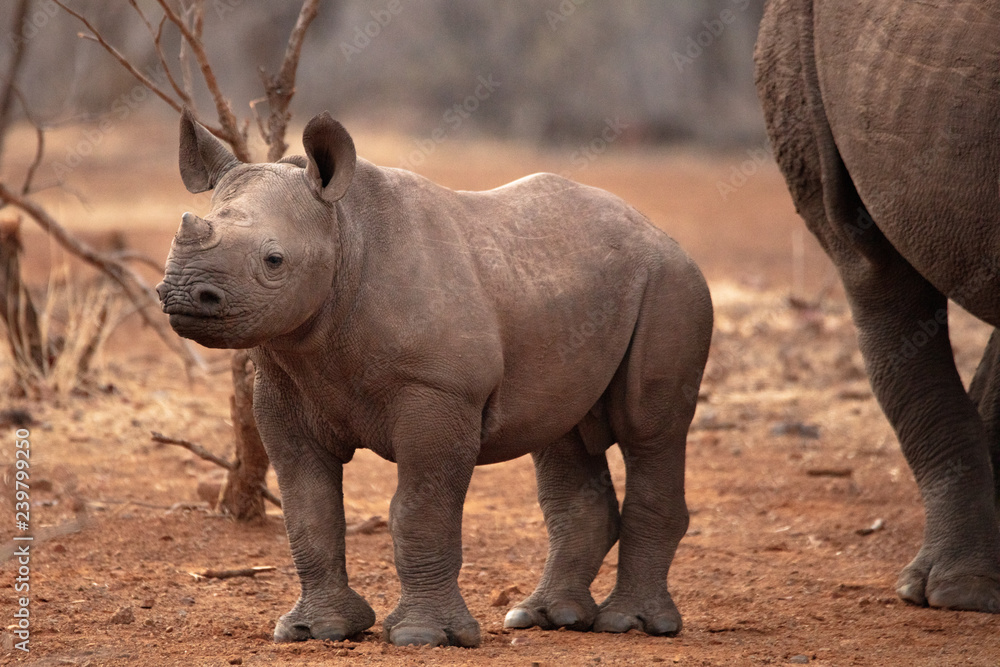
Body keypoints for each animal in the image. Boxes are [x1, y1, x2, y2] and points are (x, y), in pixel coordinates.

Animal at [156, 110, 713, 646]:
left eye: (274, 260)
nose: (181, 292)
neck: (343, 232)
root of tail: (660, 233)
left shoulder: (439, 391)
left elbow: (420, 511)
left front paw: (423, 636)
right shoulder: (283, 387)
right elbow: (309, 511)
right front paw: (315, 631)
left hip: (672, 284)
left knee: (650, 433)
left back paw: (631, 624)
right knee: (562, 435)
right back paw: (544, 618)